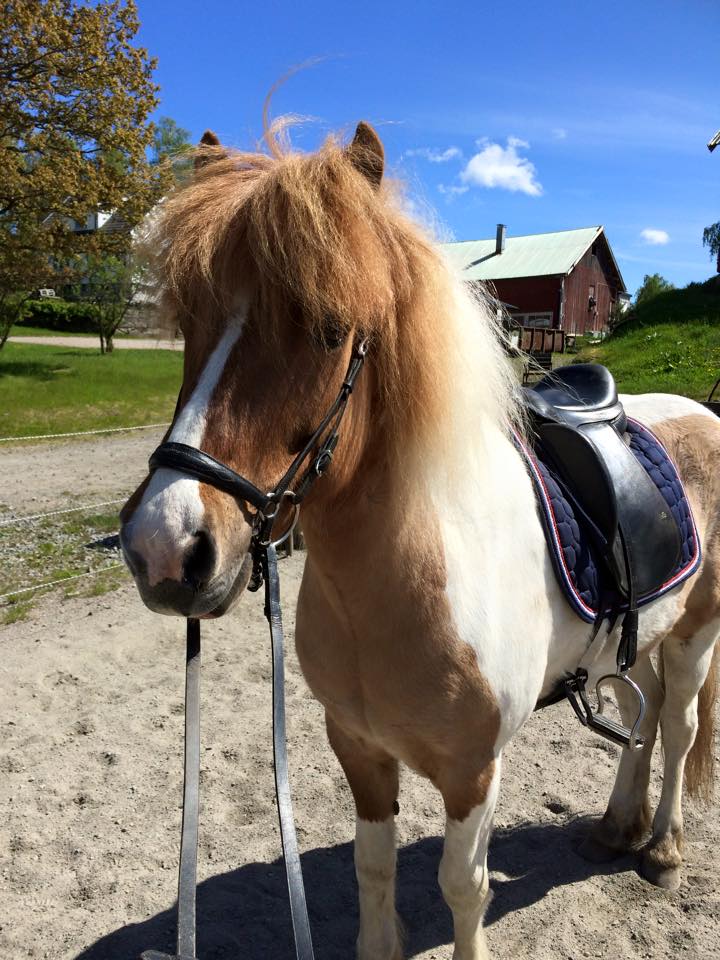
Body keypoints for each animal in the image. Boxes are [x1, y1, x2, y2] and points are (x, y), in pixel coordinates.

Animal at [120, 120, 720, 960]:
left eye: (329, 330)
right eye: (192, 325)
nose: (165, 549)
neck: (392, 591)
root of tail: (699, 410)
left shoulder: (472, 772)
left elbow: (461, 888)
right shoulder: (360, 751)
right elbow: (374, 869)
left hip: (698, 633)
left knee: (680, 725)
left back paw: (663, 848)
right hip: (646, 639)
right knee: (648, 714)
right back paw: (617, 828)